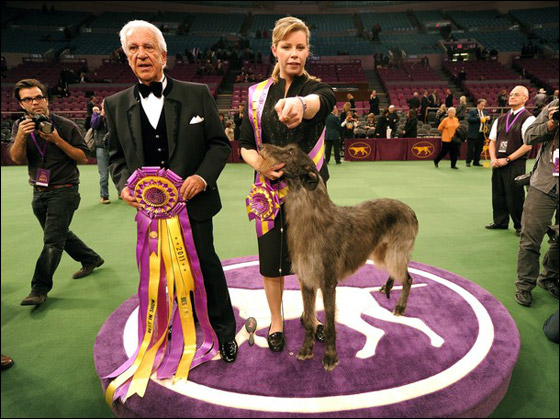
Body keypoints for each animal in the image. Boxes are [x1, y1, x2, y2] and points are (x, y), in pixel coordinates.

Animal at [259, 143, 419, 371]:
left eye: (290, 151)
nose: (261, 145)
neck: (313, 219)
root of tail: (410, 209)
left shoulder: (328, 283)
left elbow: (329, 324)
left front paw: (330, 356)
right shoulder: (306, 281)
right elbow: (309, 319)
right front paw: (306, 349)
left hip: (396, 252)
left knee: (408, 278)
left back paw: (400, 306)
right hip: (382, 253)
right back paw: (385, 287)